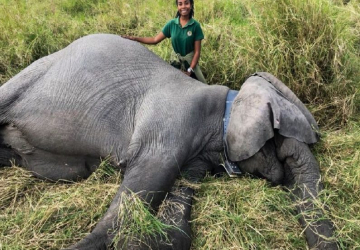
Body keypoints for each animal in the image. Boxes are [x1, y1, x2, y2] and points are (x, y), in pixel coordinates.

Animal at [0, 33, 338, 250]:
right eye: (282, 144)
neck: (225, 106)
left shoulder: (197, 155)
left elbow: (177, 215)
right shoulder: (173, 121)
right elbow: (144, 184)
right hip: (26, 77)